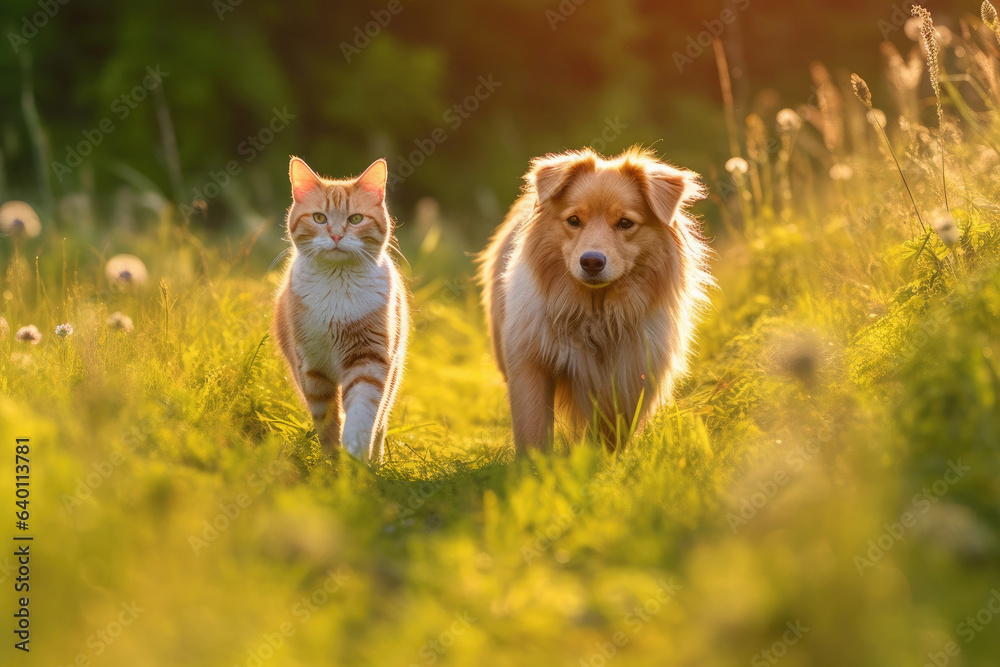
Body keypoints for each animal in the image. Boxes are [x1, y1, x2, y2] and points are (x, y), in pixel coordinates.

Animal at [274, 159, 410, 468]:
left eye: (356, 219)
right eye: (319, 218)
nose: (336, 235)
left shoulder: (369, 360)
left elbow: (361, 416)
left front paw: (355, 459)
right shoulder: (312, 369)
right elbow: (327, 422)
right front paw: (334, 465)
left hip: (393, 372)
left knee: (381, 421)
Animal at [478, 148, 708, 454]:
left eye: (625, 223)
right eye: (574, 220)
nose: (591, 261)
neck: (595, 313)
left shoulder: (633, 372)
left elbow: (614, 434)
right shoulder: (530, 362)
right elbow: (533, 428)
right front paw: (535, 464)